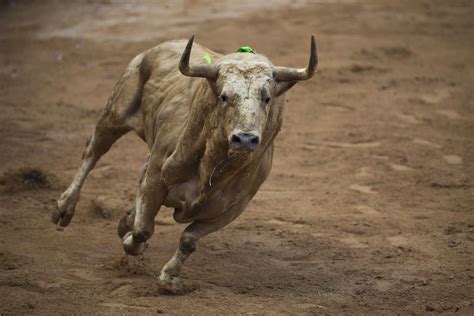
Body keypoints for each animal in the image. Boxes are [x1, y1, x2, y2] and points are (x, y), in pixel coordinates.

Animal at [51, 35, 318, 292]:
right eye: (224, 97)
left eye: (267, 98)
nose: (244, 139)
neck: (212, 168)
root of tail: (156, 49)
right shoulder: (156, 179)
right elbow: (143, 229)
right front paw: (131, 241)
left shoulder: (228, 211)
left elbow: (188, 240)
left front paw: (169, 278)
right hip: (115, 114)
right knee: (93, 152)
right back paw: (64, 208)